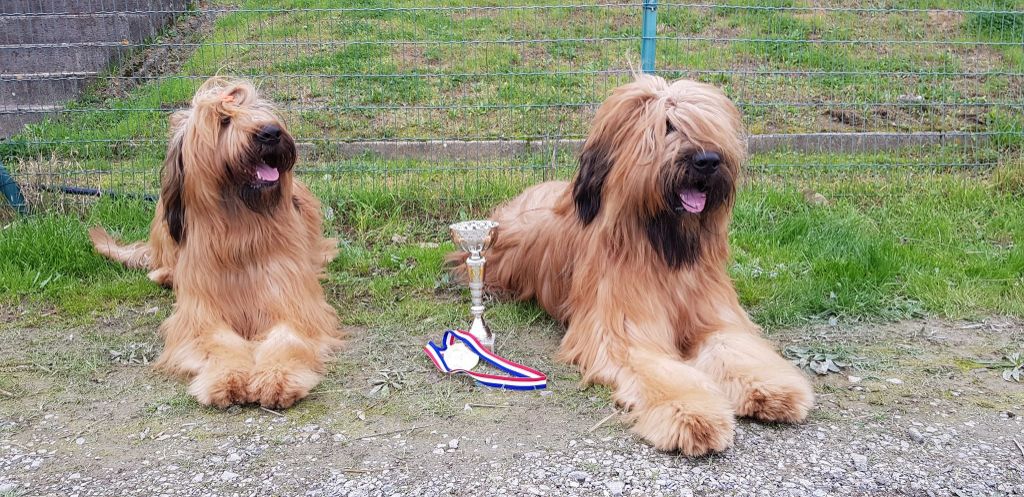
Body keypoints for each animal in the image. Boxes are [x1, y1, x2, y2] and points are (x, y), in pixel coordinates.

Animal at [90, 77, 342, 407]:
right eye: (224, 120)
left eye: (260, 111)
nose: (271, 132)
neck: (242, 231)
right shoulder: (202, 313)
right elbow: (217, 341)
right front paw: (228, 377)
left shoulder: (290, 300)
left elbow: (286, 337)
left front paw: (276, 378)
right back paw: (165, 275)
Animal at [452, 75, 811, 454]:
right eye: (668, 126)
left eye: (709, 126)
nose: (709, 160)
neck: (664, 247)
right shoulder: (626, 335)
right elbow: (663, 372)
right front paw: (694, 416)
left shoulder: (716, 318)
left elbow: (736, 347)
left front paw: (773, 389)